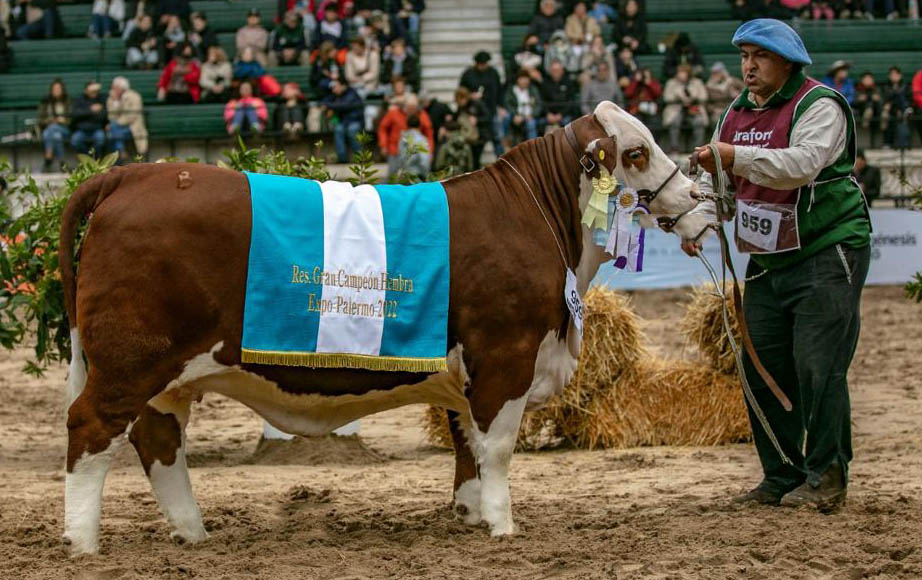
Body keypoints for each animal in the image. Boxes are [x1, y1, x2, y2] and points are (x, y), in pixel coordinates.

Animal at [59, 102, 704, 556]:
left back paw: (191, 533)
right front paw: (502, 525)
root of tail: (132, 176)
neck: (536, 216)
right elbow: (496, 448)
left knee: (159, 442)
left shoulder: (464, 374)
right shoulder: (507, 355)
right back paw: (82, 542)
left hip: (166, 374)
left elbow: (466, 445)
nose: (699, 196)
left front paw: (469, 516)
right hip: (130, 361)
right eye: (637, 152)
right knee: (91, 429)